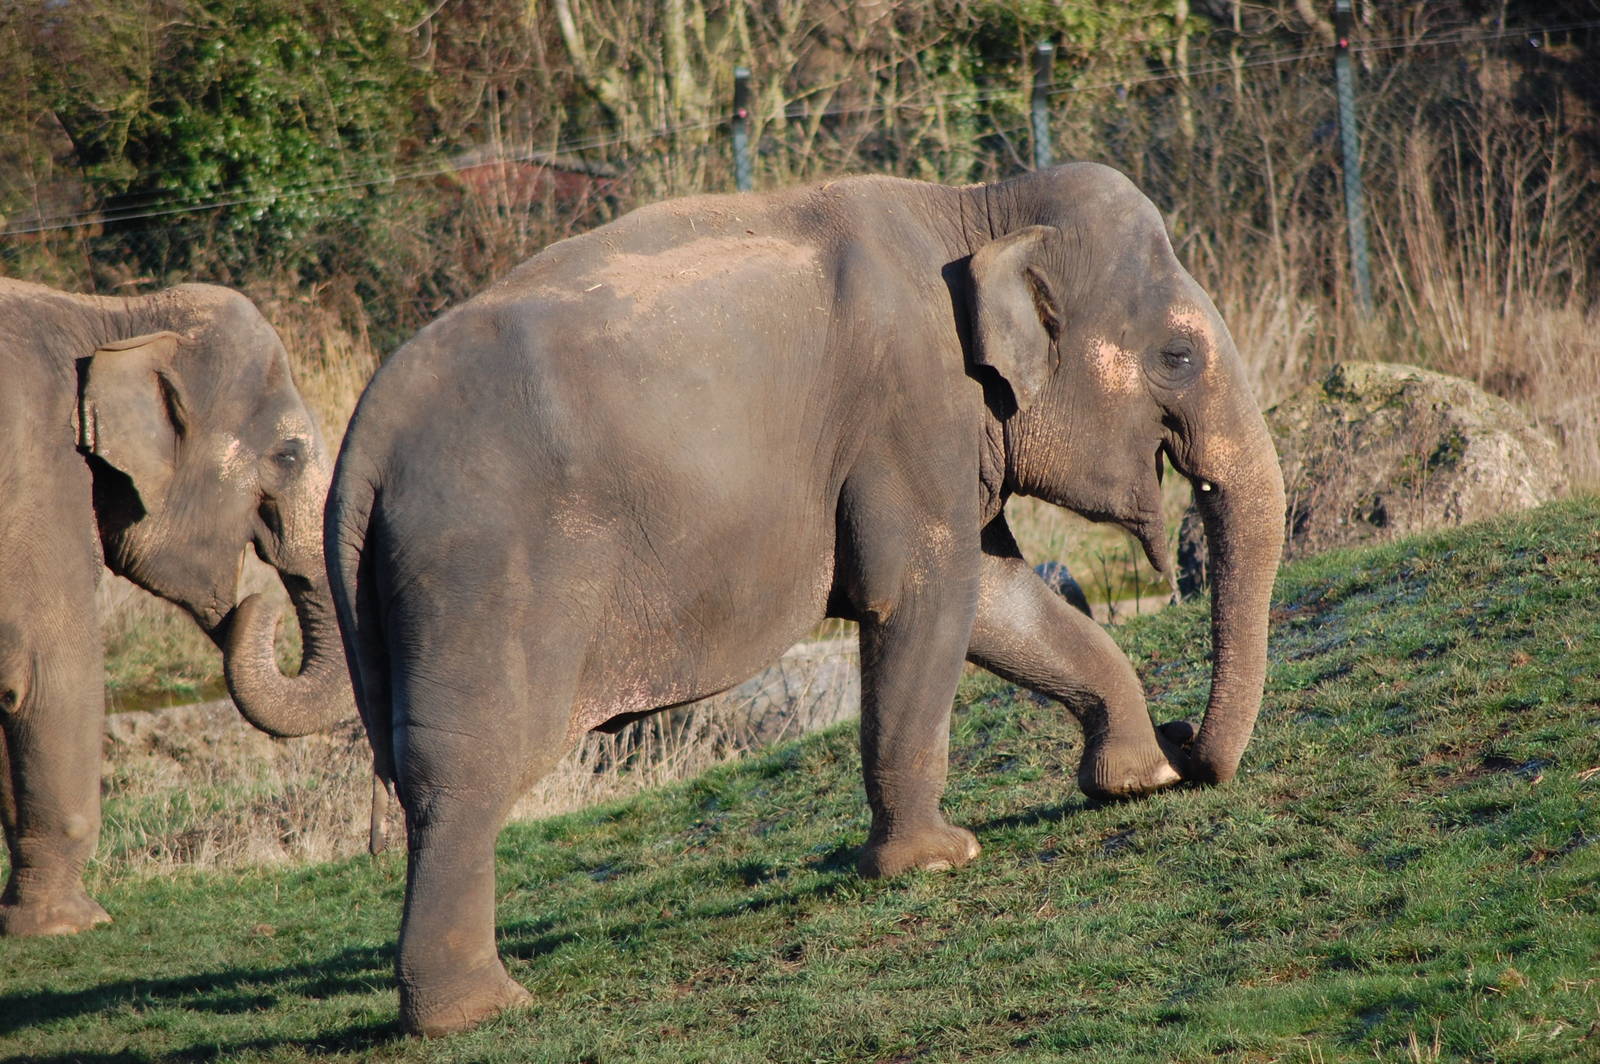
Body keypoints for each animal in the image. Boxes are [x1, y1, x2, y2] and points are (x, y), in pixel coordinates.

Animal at [0, 278, 351, 937]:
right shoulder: (41, 477)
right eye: (288, 456)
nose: (258, 604)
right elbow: (44, 669)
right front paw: (73, 924)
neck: (111, 317)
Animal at [326, 162, 1286, 1036]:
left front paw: (1134, 780)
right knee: (470, 768)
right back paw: (480, 1012)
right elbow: (926, 595)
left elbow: (999, 600)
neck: (977, 203)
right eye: (1178, 356)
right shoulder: (910, 407)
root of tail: (360, 445)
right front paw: (938, 860)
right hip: (479, 569)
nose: (1190, 745)